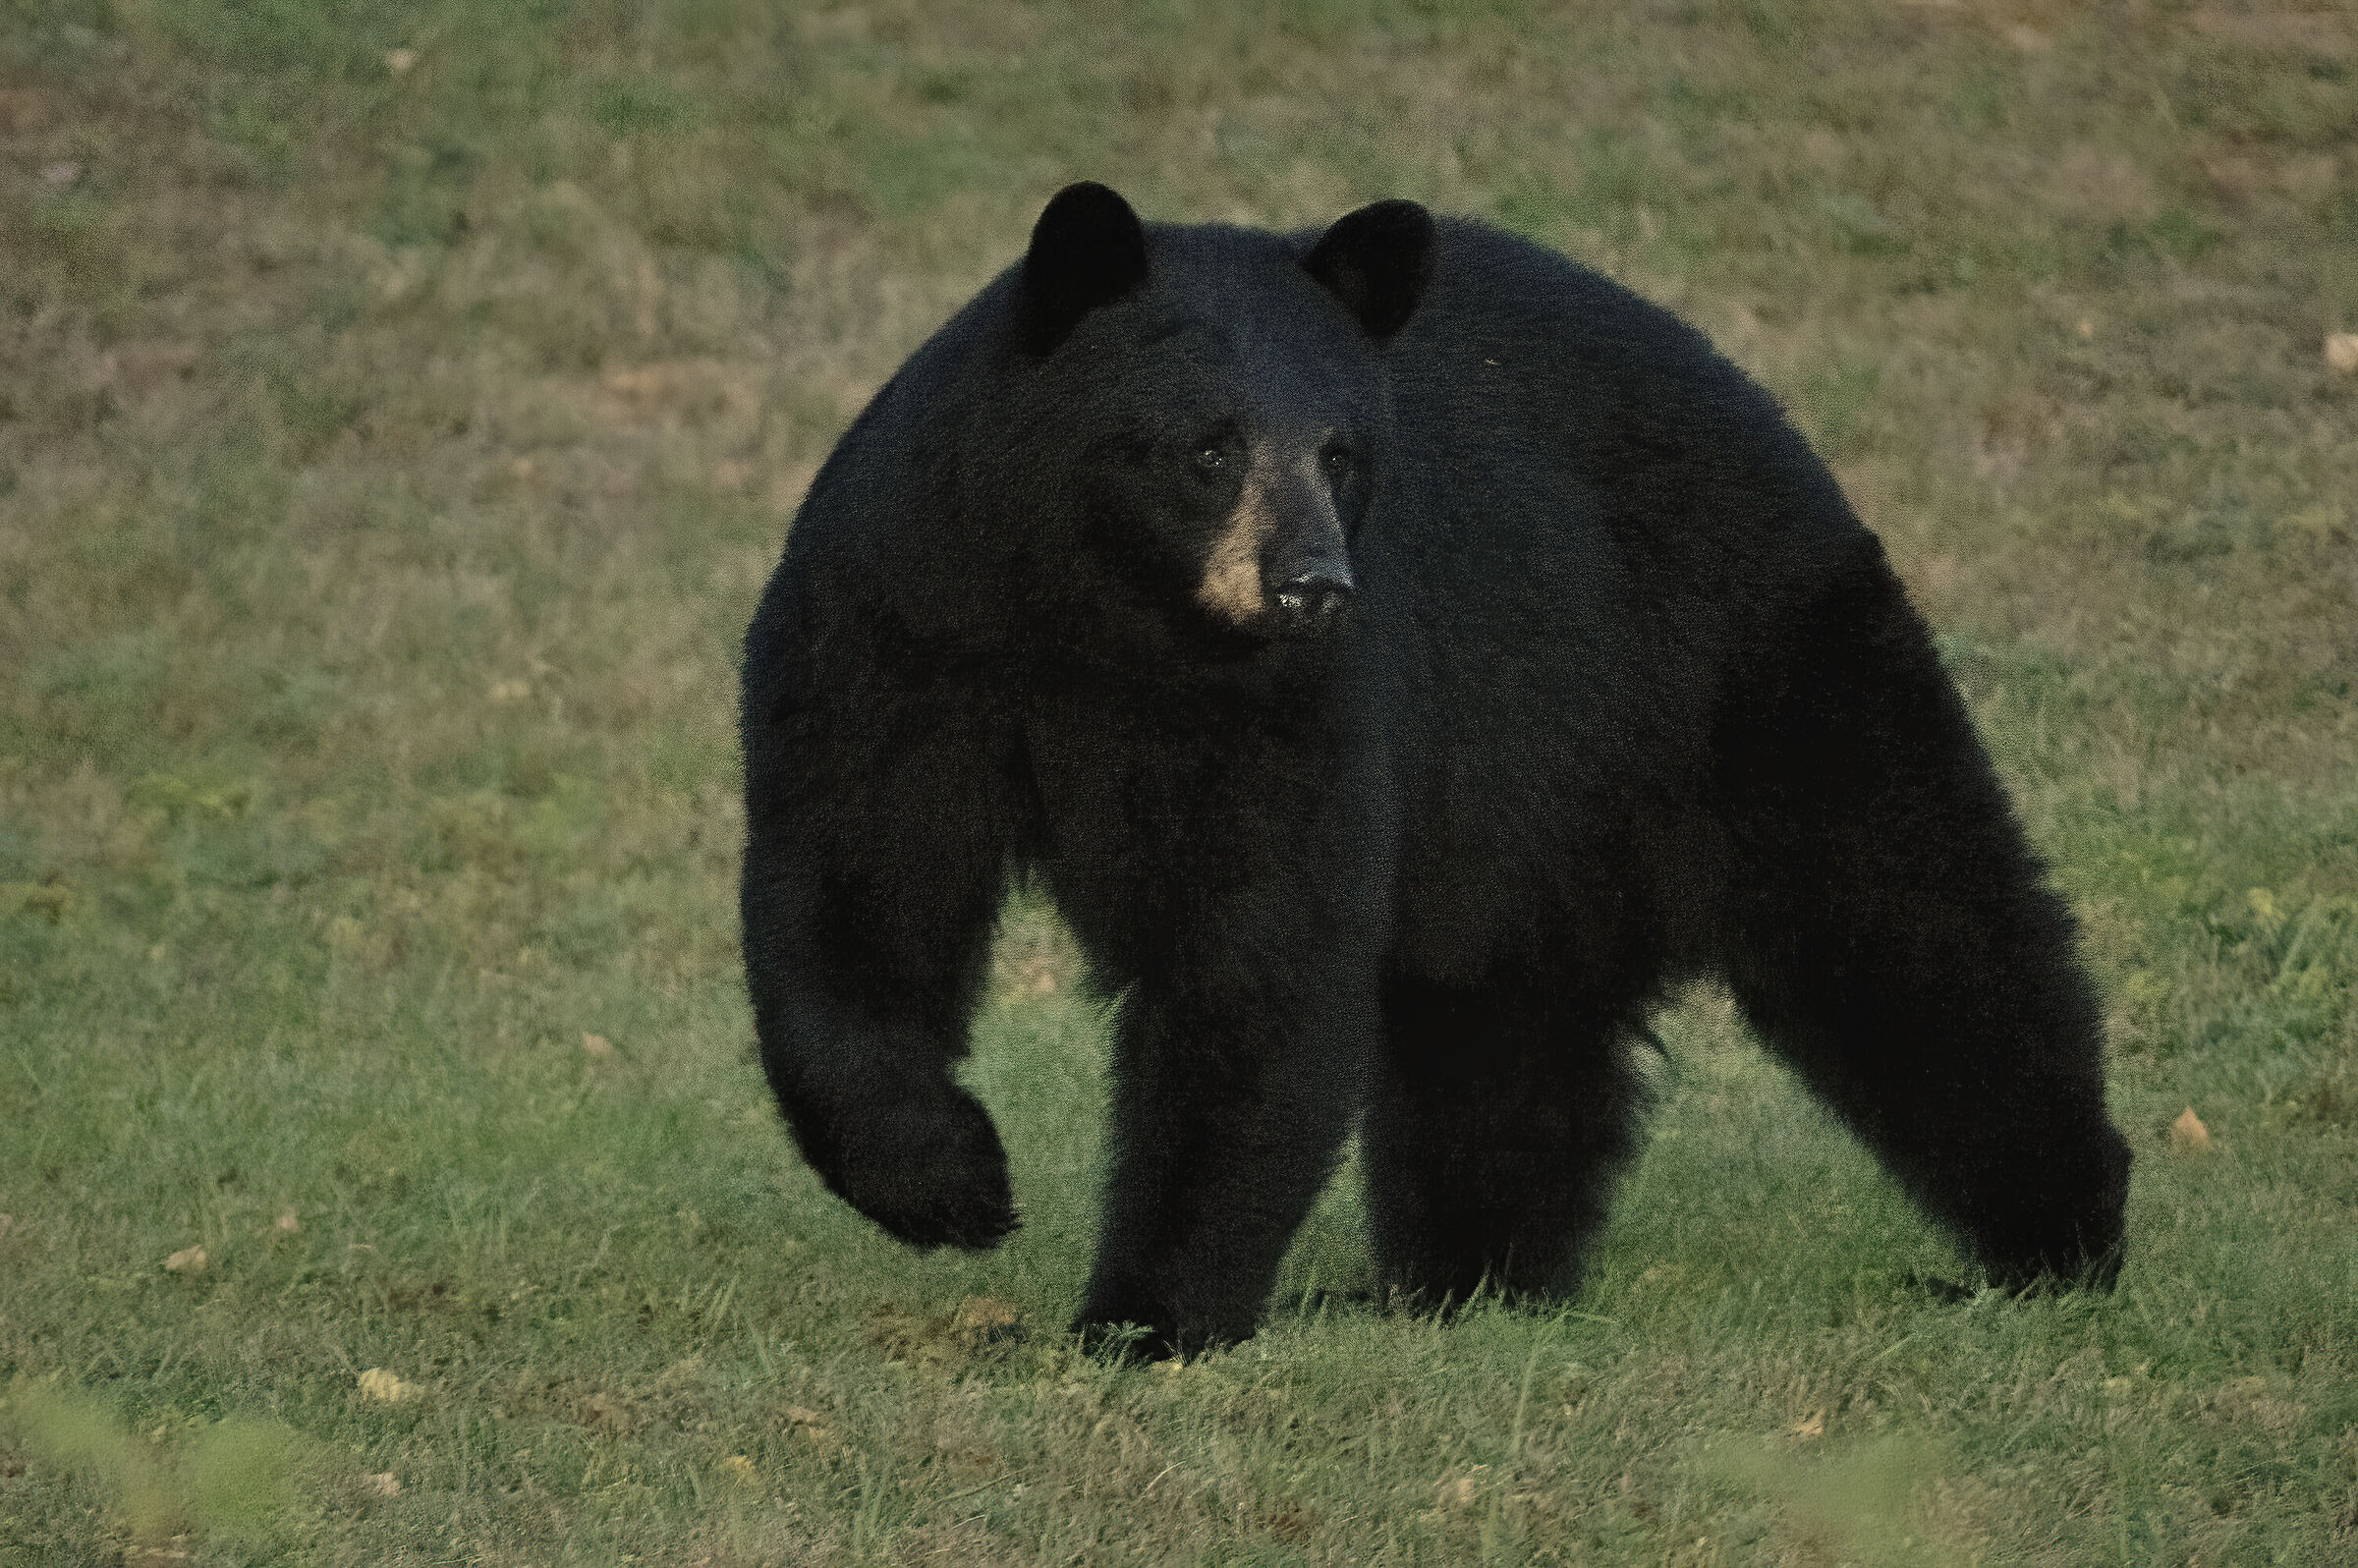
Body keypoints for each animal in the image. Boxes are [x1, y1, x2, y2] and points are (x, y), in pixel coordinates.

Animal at [738, 182, 2131, 1358]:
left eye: (1342, 450)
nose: (1310, 585)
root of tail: (1775, 421)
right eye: (1207, 447)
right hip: (1538, 814)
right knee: (1500, 1036)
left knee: (1913, 927)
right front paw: (949, 1182)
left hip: (1748, 675)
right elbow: (852, 891)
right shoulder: (902, 630)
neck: (1107, 628)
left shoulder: (1301, 708)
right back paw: (1467, 1281)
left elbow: (1259, 961)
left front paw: (1148, 1316)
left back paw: (2050, 1240)